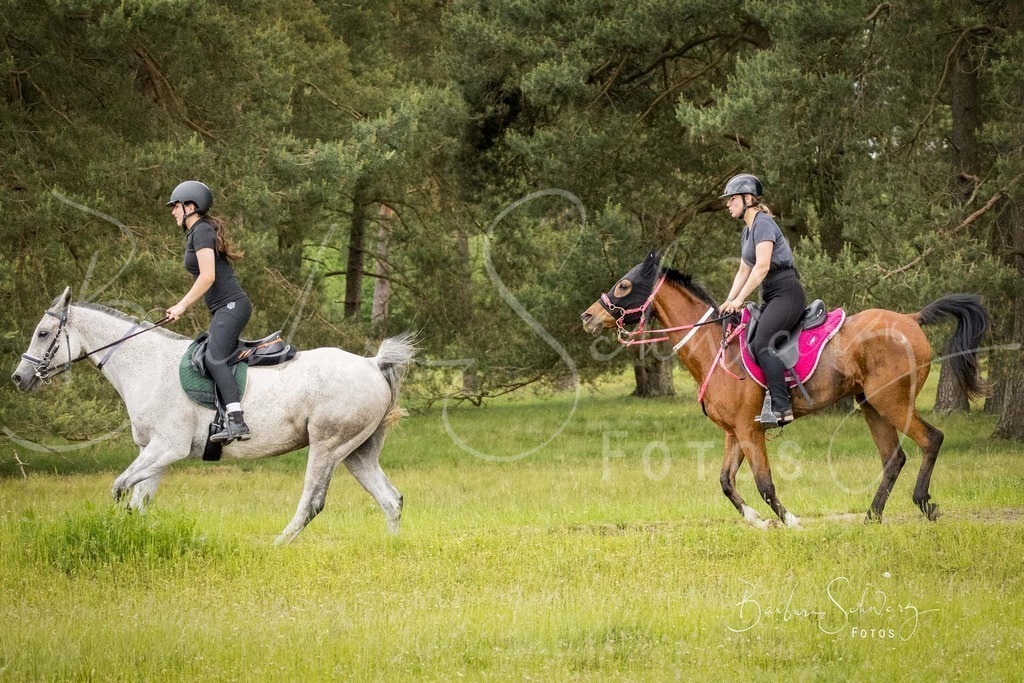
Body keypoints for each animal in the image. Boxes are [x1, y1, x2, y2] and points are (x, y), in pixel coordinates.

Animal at [10, 287, 416, 545]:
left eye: (43, 333)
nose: (19, 378)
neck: (145, 366)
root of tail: (372, 363)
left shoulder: (166, 448)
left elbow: (120, 487)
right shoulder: (154, 454)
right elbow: (140, 500)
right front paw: (138, 536)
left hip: (327, 447)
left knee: (313, 502)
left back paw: (278, 544)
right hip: (357, 453)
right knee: (391, 499)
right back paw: (391, 548)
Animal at [581, 253, 989, 529]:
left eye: (624, 285)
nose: (588, 317)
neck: (715, 347)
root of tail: (910, 319)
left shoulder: (751, 431)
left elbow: (764, 484)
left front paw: (790, 520)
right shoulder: (734, 433)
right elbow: (726, 482)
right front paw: (756, 521)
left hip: (892, 401)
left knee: (931, 439)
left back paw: (924, 503)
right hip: (871, 405)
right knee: (894, 459)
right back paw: (872, 516)